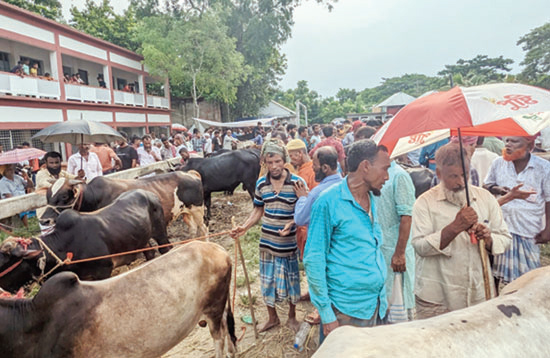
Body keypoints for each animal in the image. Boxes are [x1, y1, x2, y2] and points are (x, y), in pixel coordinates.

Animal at [0, 189, 170, 292]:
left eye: (3, 263)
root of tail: (149, 193)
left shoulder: (104, 271)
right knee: (149, 253)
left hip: (160, 233)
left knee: (164, 249)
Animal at [41, 171, 207, 236]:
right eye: (47, 195)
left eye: (64, 196)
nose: (44, 220)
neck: (94, 196)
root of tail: (190, 174)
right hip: (185, 211)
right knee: (193, 229)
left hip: (197, 209)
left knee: (204, 229)